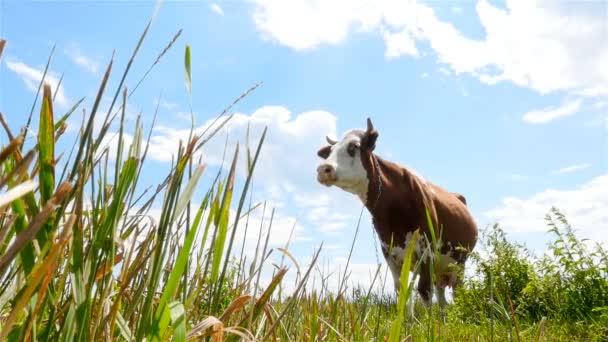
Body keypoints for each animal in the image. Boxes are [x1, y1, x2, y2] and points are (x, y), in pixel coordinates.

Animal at [316, 117, 478, 312]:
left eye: (353, 146)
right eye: (330, 151)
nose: (323, 169)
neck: (392, 210)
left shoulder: (427, 250)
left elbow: (424, 290)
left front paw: (430, 321)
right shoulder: (389, 253)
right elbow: (401, 290)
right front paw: (408, 318)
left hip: (459, 263)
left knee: (455, 291)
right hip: (441, 268)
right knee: (442, 299)